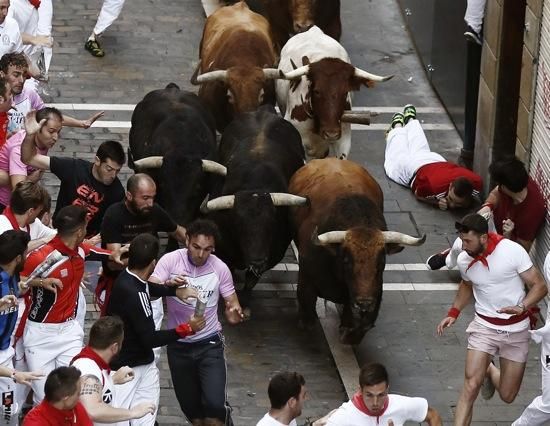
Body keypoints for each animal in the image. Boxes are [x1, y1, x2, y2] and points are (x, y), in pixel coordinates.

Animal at [201, 105, 308, 312]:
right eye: (239, 224)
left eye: (272, 222)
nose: (257, 260)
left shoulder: (272, 255)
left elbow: (251, 281)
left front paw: (245, 304)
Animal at [292, 158, 430, 344]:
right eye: (346, 260)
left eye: (382, 261)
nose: (364, 303)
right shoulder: (306, 281)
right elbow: (307, 317)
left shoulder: (373, 298)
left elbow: (356, 328)